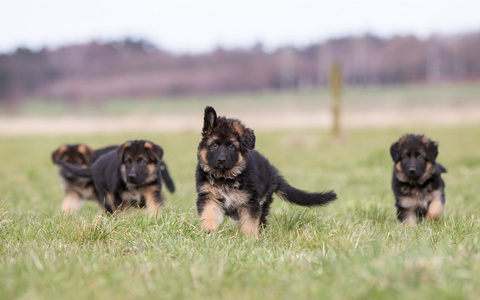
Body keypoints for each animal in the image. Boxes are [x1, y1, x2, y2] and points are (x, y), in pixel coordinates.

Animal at [195, 106, 338, 237]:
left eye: (231, 146)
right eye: (214, 145)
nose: (221, 160)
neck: (225, 178)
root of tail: (273, 173)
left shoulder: (250, 201)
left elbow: (249, 223)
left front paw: (250, 239)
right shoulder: (208, 196)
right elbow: (209, 214)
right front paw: (208, 231)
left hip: (263, 201)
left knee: (261, 221)